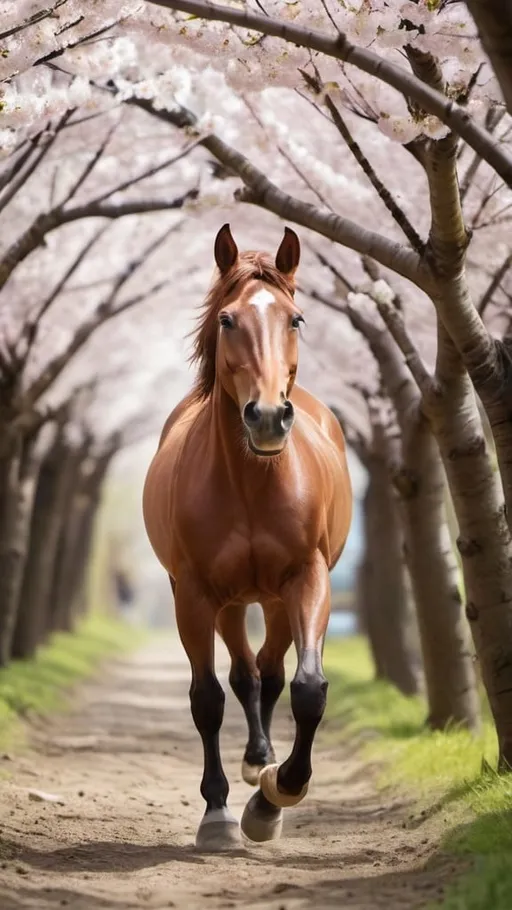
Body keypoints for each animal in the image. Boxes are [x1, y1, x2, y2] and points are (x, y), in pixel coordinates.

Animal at [143, 224, 352, 852]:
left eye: (296, 319)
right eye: (228, 319)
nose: (266, 417)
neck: (253, 484)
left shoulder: (308, 578)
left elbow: (308, 688)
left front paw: (275, 795)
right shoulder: (193, 593)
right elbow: (207, 697)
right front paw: (217, 813)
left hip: (277, 598)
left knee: (271, 671)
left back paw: (264, 768)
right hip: (231, 601)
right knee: (244, 674)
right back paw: (252, 763)